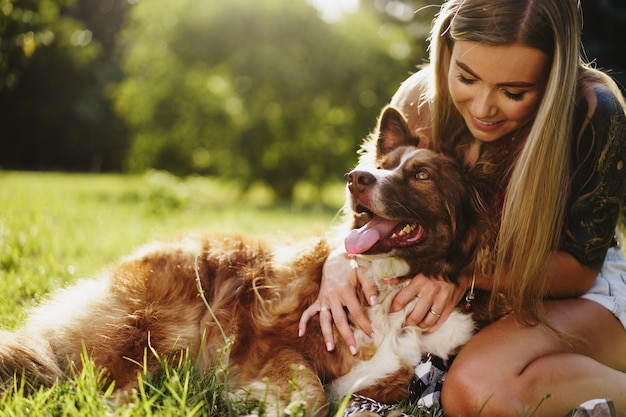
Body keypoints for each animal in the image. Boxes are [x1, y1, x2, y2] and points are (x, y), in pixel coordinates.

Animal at [0, 106, 494, 412]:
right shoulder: (267, 342)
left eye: (421, 175)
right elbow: (310, 390)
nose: (356, 178)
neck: (391, 289)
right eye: (381, 165)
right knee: (100, 382)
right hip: (157, 327)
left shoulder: (385, 378)